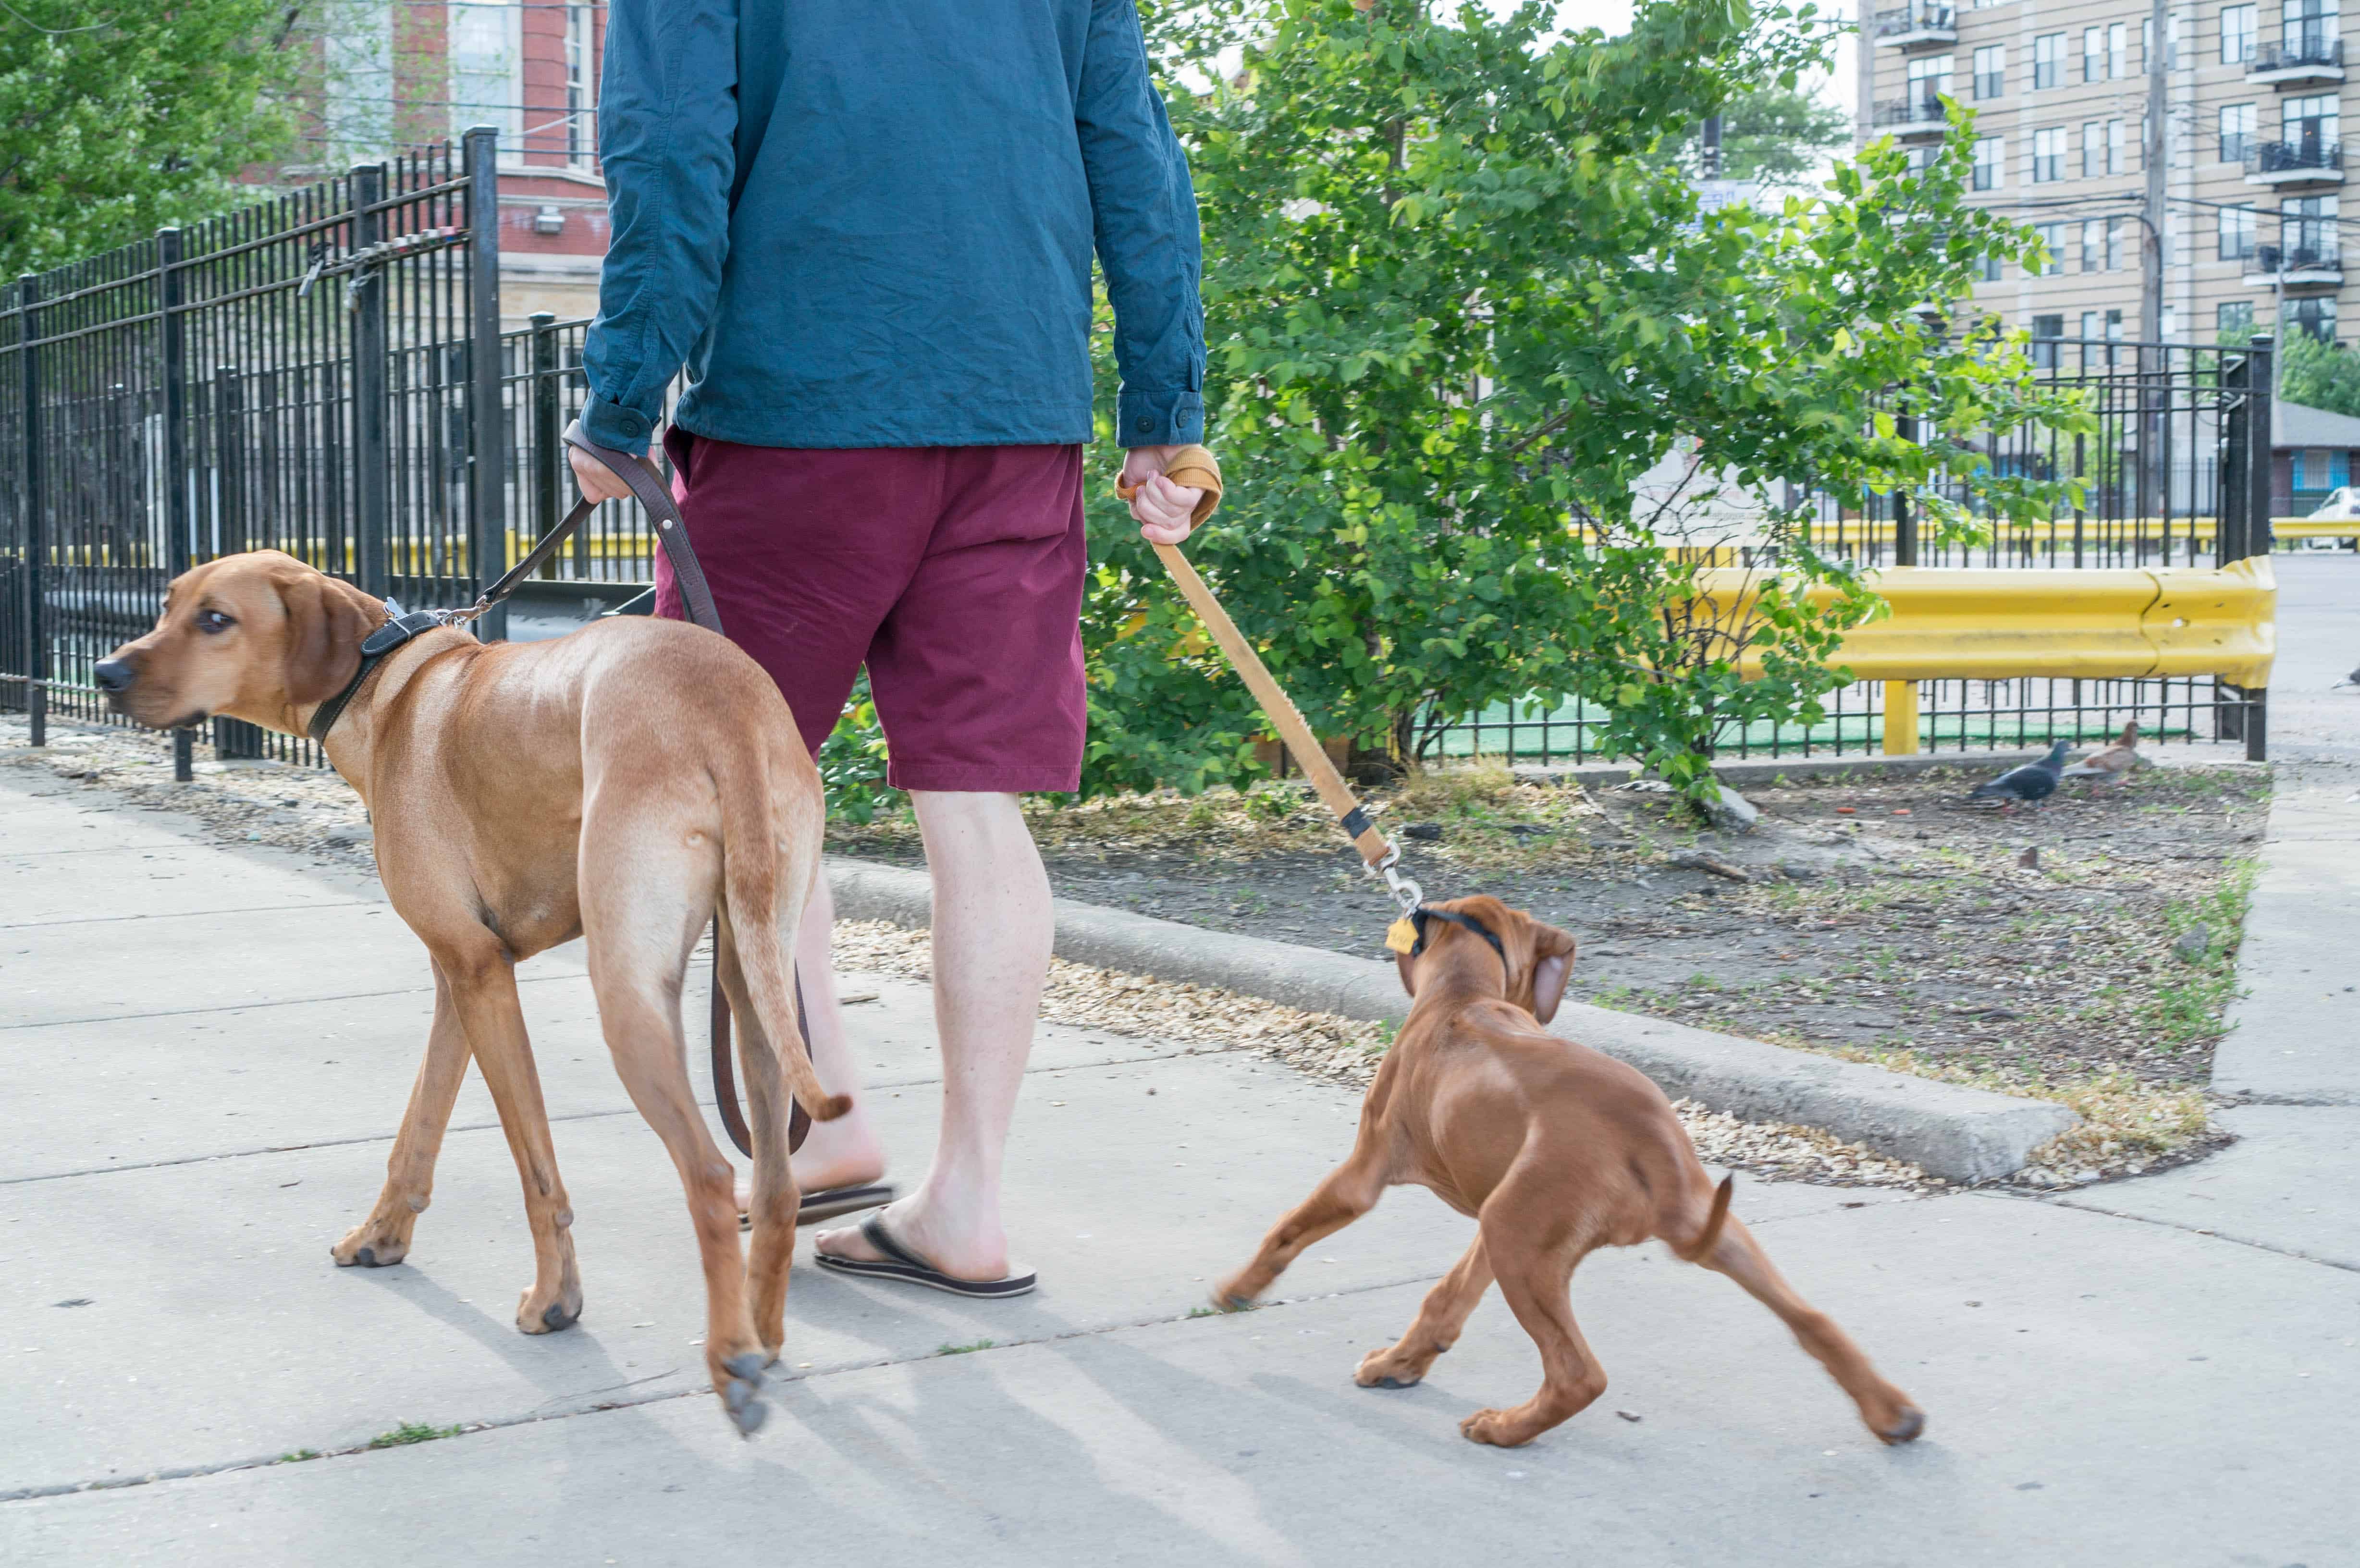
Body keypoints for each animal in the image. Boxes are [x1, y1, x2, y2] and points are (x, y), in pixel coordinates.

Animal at [97, 548, 849, 1435]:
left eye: (216, 619)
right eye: (169, 603)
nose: (105, 673)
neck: (379, 681)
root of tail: (722, 700)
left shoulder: (479, 972)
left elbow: (535, 1168)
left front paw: (556, 1300)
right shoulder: (460, 976)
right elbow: (418, 1126)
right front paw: (381, 1235)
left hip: (630, 995)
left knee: (704, 1170)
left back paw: (729, 1357)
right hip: (753, 982)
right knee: (773, 1183)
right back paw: (763, 1339)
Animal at [1208, 902, 1926, 1455]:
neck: (1464, 995)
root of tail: (1649, 1137)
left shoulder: (1368, 1173)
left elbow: (1287, 1231)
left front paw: (1237, 1289)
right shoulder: (1493, 1216)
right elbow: (1447, 1298)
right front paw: (1399, 1364)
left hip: (1519, 1235)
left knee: (1581, 1376)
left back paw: (1503, 1429)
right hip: (1652, 1229)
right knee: (1812, 1319)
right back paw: (1894, 1414)